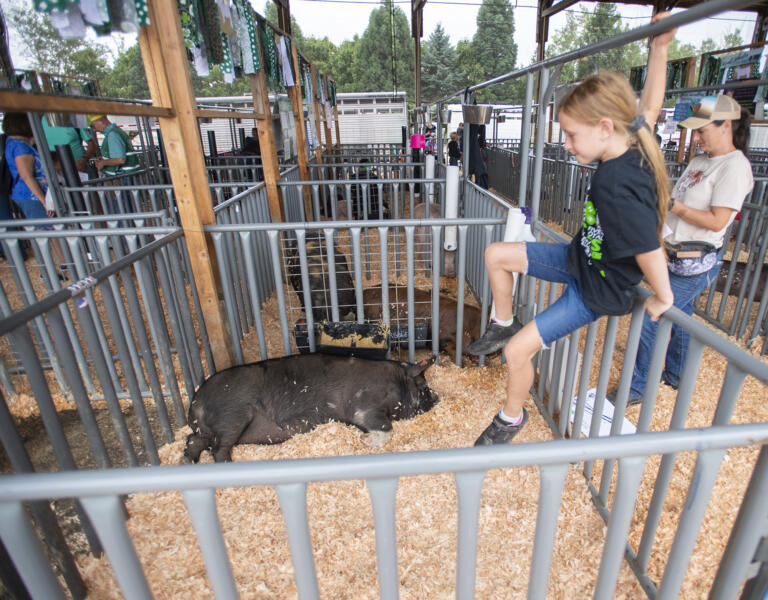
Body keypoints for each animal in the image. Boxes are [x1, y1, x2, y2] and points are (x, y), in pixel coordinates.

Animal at [184, 354, 438, 462]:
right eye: (423, 386)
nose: (438, 396)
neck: (395, 381)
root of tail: (195, 403)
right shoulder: (364, 405)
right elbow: (385, 429)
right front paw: (364, 441)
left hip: (209, 430)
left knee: (192, 441)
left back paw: (187, 461)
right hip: (233, 416)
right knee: (218, 450)